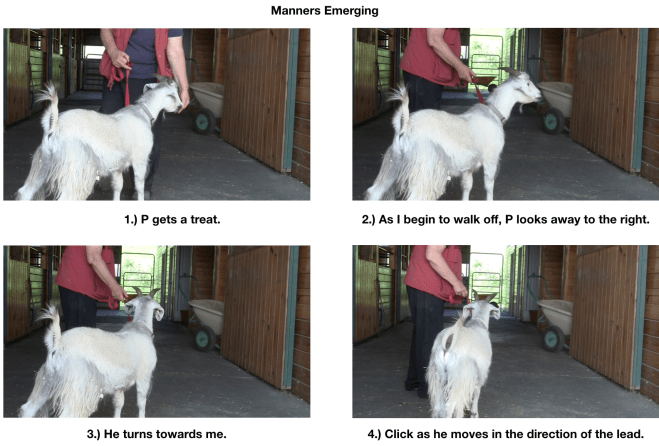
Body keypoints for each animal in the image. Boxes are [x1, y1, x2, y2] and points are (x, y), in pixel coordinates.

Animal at [16, 74, 182, 201]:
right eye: (174, 94)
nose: (181, 106)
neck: (143, 113)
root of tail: (55, 125)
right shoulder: (139, 160)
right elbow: (139, 186)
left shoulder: (117, 165)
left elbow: (118, 186)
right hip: (76, 169)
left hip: (42, 163)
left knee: (25, 192)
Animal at [19, 287, 163, 418]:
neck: (139, 328)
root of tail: (58, 344)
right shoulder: (144, 377)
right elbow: (141, 404)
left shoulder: (119, 384)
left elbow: (118, 404)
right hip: (78, 387)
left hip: (47, 381)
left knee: (28, 409)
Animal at [365, 68, 543, 200]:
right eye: (528, 83)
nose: (540, 95)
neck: (493, 113)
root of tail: (405, 126)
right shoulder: (490, 159)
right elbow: (489, 185)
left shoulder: (468, 166)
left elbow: (467, 186)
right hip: (425, 168)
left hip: (393, 163)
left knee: (374, 192)